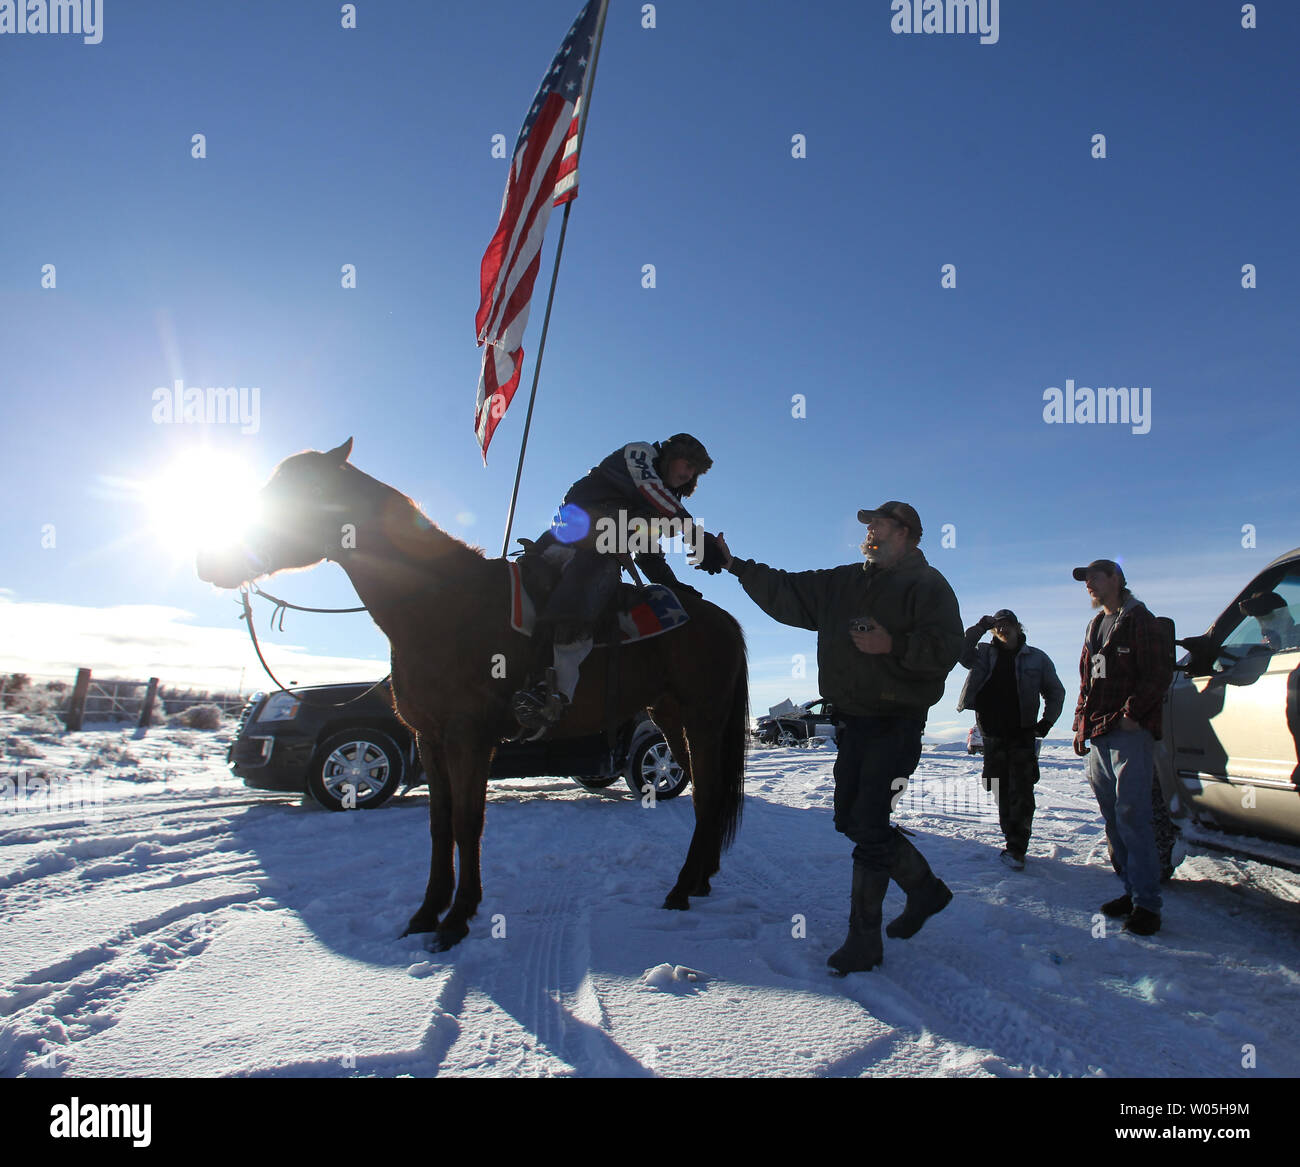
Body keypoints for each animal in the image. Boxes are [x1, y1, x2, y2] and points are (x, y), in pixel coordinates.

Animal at [191, 436, 743, 946]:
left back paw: (680, 889)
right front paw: (425, 913)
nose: (210, 561)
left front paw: (457, 919)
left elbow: (468, 821)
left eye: (307, 490)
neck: (443, 604)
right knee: (706, 795)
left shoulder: (469, 738)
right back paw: (697, 881)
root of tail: (724, 621)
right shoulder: (430, 739)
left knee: (709, 796)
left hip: (703, 719)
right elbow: (440, 824)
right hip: (673, 718)